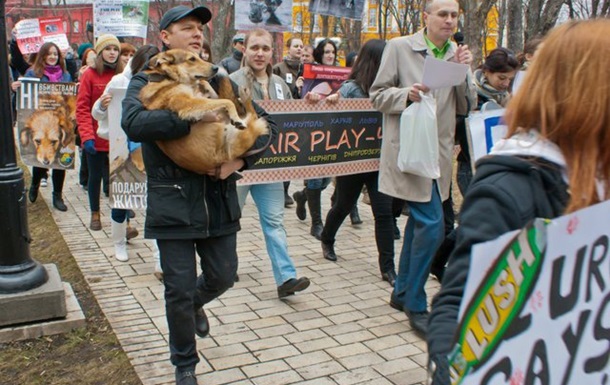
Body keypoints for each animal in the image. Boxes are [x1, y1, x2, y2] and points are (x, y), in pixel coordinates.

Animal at [141, 48, 270, 173]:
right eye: (192, 59)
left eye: (199, 56)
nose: (216, 68)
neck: (169, 77)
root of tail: (223, 158)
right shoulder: (188, 103)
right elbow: (228, 101)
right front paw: (236, 118)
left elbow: (207, 84)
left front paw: (205, 85)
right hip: (240, 138)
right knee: (253, 115)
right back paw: (245, 98)